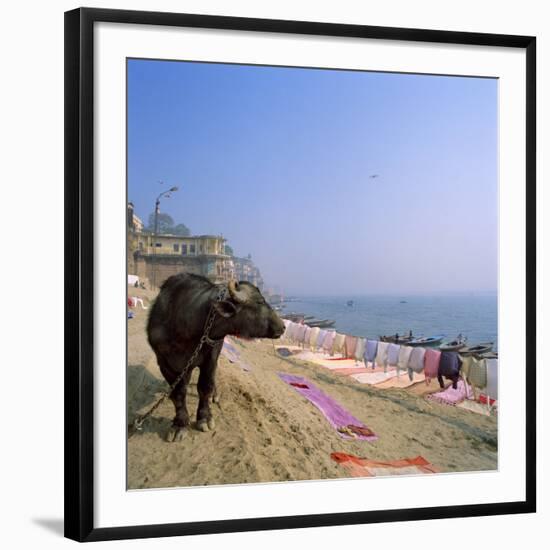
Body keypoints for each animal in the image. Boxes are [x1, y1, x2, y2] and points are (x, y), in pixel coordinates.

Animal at [147, 274, 286, 444]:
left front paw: (204, 418)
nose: (283, 326)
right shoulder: (164, 363)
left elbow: (205, 387)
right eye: (259, 302)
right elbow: (178, 393)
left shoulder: (210, 358)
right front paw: (180, 424)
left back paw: (215, 394)